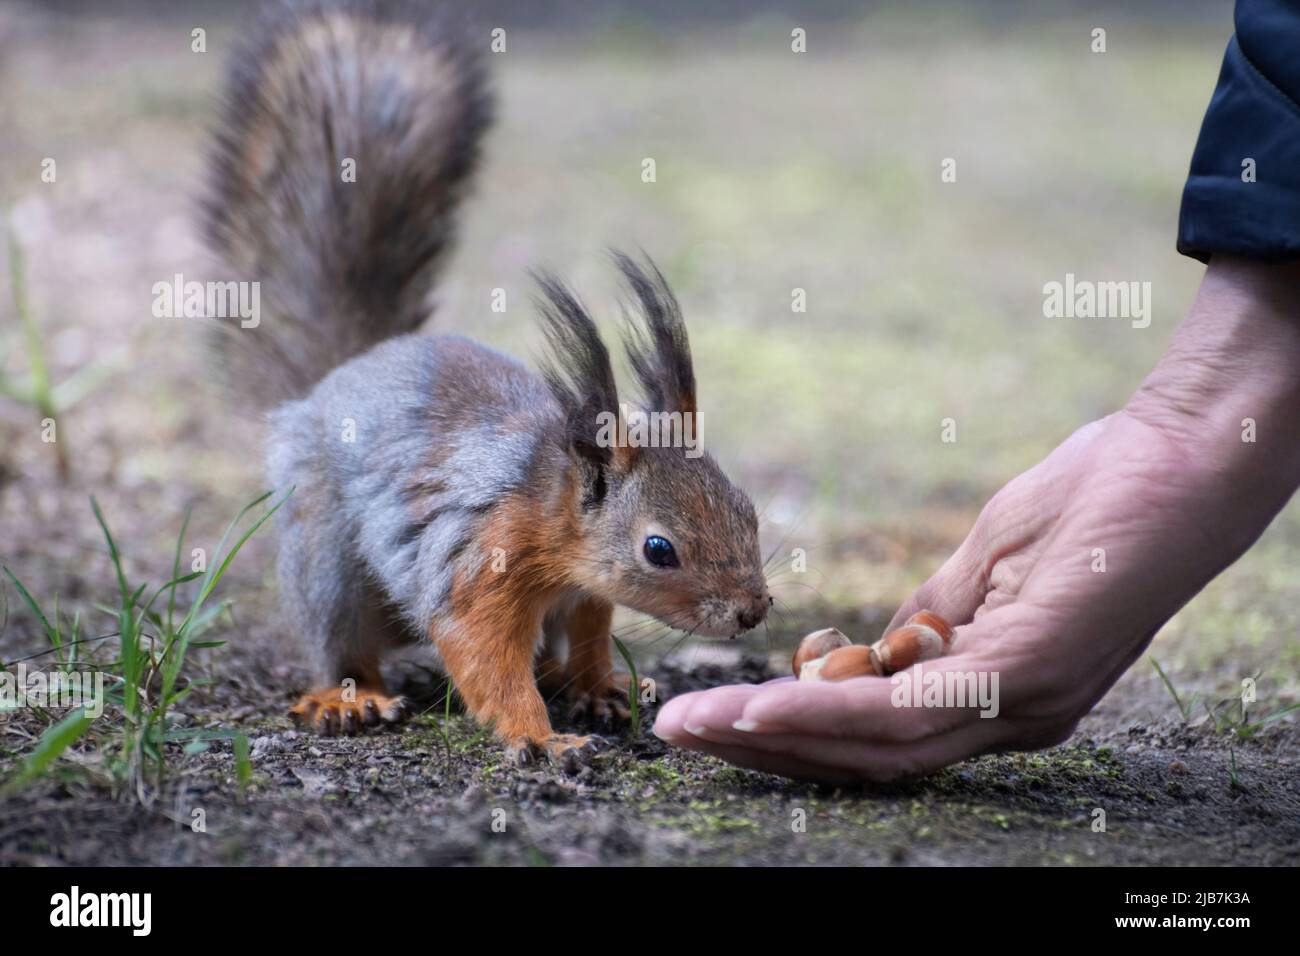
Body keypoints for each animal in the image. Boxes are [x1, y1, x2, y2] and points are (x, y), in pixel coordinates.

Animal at [203, 0, 770, 766]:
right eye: (660, 550)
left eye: (748, 509)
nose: (753, 609)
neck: (553, 514)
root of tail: (336, 377)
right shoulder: (478, 563)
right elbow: (484, 655)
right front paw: (540, 737)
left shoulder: (583, 595)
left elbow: (589, 634)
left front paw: (599, 688)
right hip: (324, 550)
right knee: (338, 640)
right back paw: (348, 697)